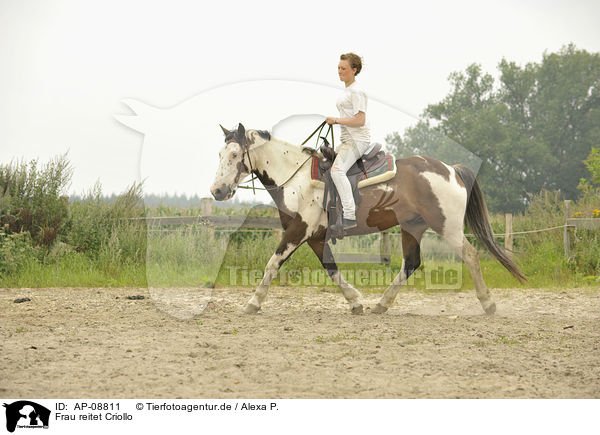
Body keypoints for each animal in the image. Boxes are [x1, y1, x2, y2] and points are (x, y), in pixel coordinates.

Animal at [210, 122, 524, 316]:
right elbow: (331, 269)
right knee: (411, 264)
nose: (217, 191)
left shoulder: (299, 231)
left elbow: (272, 263)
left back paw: (488, 304)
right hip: (412, 227)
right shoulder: (315, 237)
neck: (295, 177)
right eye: (220, 153)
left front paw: (252, 303)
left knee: (470, 256)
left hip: (447, 227)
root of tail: (451, 169)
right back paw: (381, 304)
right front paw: (356, 302)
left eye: (235, 154)